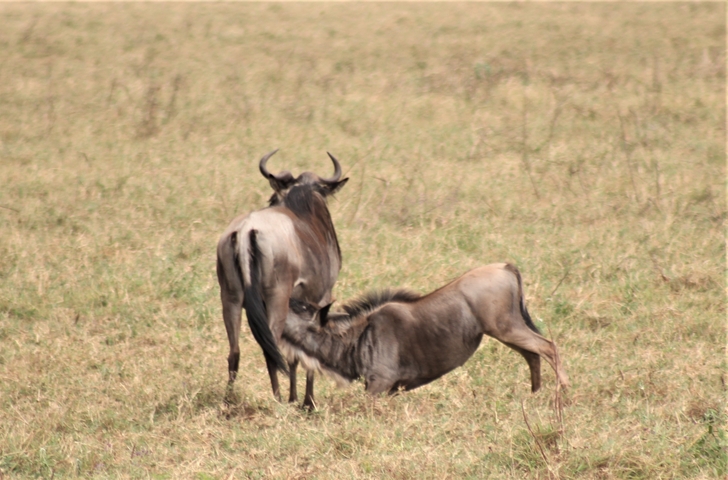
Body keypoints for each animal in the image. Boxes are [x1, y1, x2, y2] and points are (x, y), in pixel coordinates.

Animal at [216, 149, 348, 408]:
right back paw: (276, 400)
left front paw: (295, 398)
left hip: (230, 298)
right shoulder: (320, 299)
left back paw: (229, 399)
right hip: (276, 299)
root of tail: (246, 231)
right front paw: (307, 402)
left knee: (234, 351)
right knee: (270, 349)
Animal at [283, 263, 570, 398]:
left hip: (507, 329)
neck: (358, 337)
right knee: (532, 354)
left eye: (300, 306)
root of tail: (505, 266)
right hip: (507, 331)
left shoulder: (379, 383)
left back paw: (563, 392)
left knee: (548, 347)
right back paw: (534, 394)